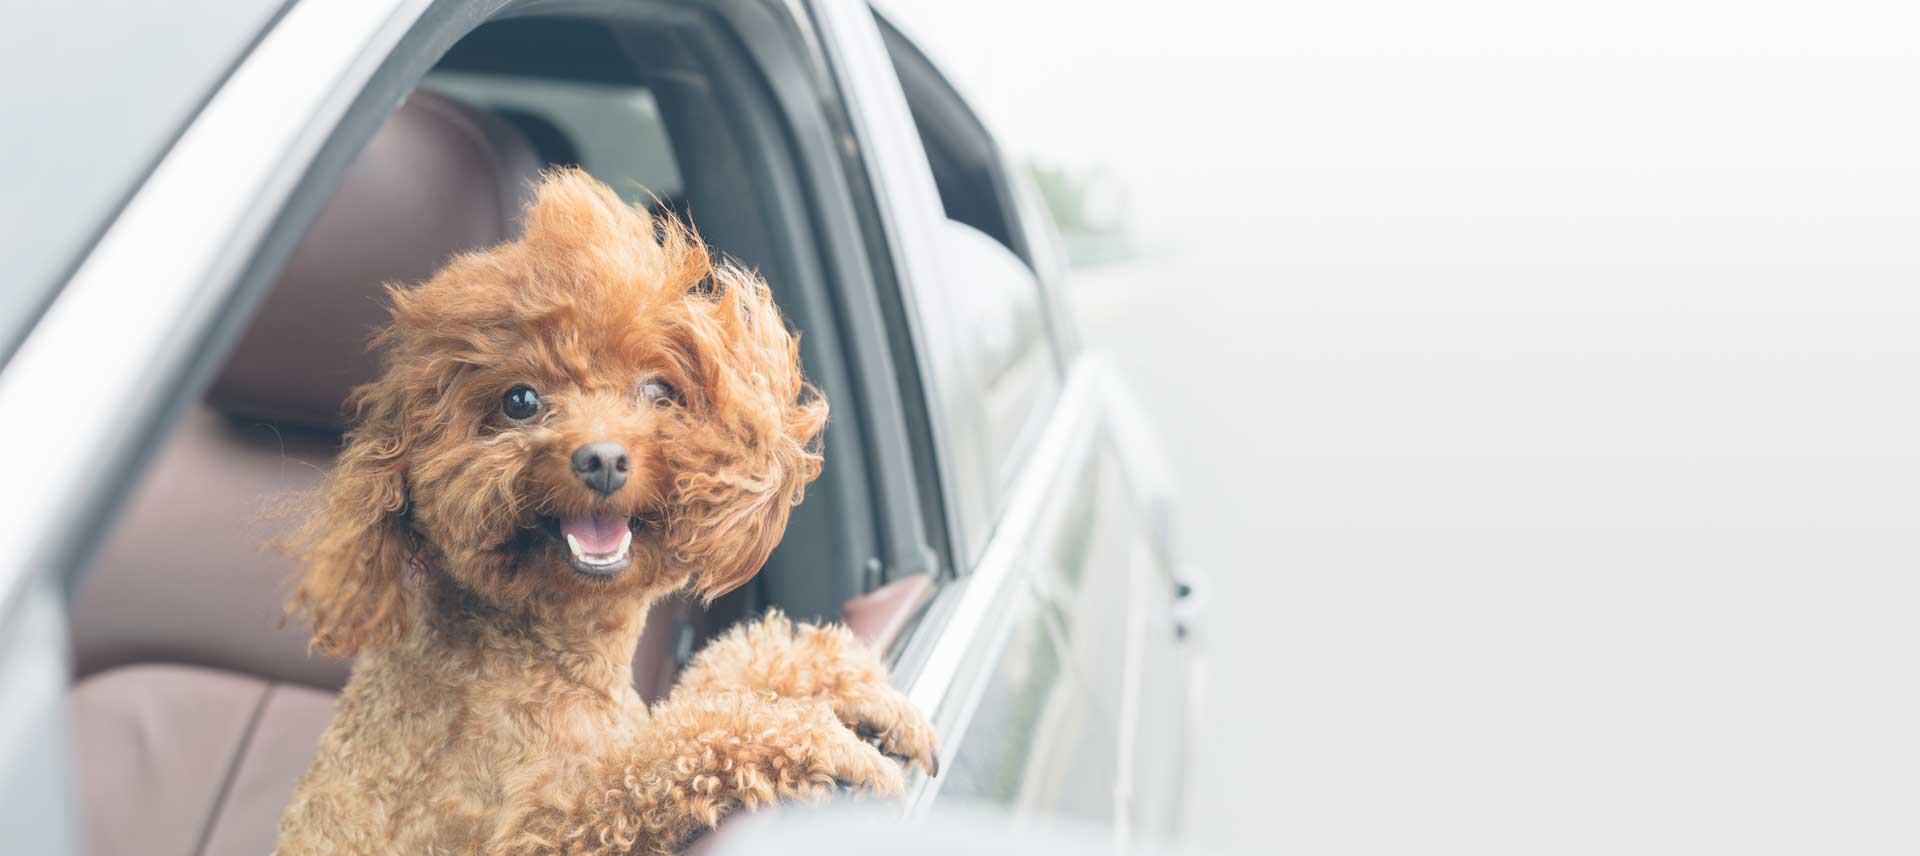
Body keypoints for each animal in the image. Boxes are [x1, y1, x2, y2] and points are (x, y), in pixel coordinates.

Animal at [276, 168, 936, 856]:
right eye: (520, 400)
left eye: (657, 389)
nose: (603, 459)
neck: (548, 656)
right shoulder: (533, 830)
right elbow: (657, 758)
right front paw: (826, 740)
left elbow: (716, 679)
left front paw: (852, 688)